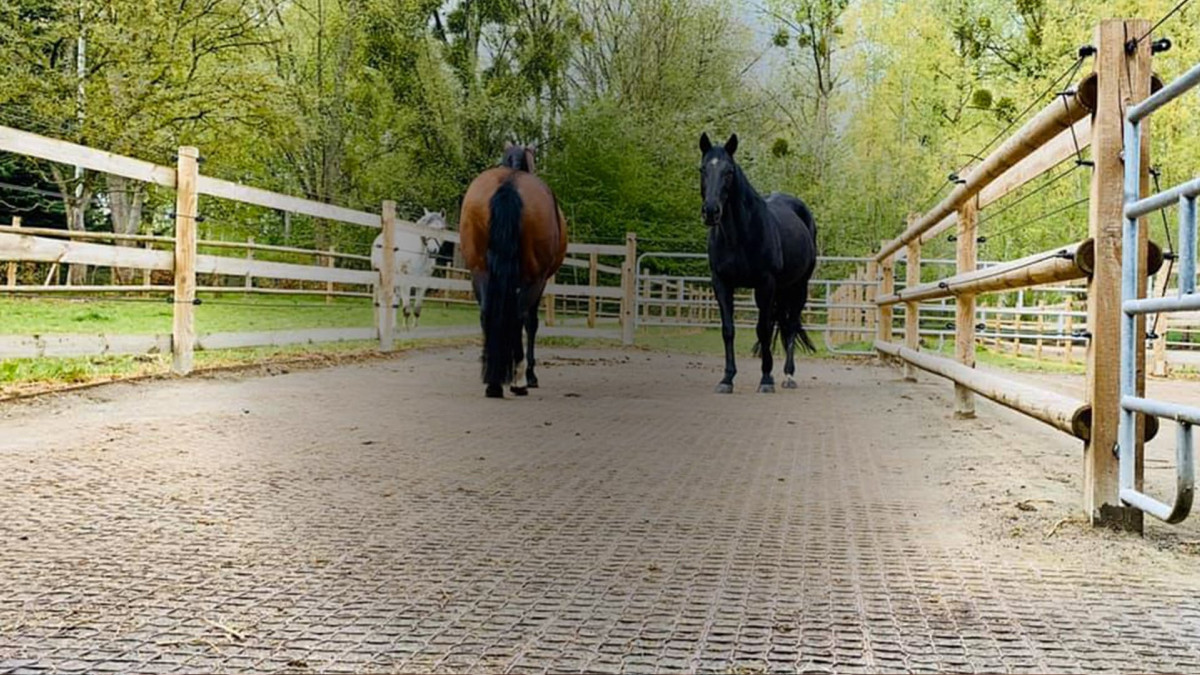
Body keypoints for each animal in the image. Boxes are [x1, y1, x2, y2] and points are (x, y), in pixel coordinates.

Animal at [460, 141, 568, 393]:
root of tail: (510, 183)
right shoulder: (539, 281)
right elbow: (530, 322)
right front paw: (530, 375)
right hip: (534, 278)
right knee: (520, 317)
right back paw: (518, 378)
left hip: (479, 272)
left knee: (486, 314)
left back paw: (493, 380)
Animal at [700, 132, 820, 391]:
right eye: (702, 169)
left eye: (729, 171)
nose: (711, 211)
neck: (739, 237)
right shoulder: (721, 283)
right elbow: (728, 330)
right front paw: (727, 379)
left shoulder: (764, 283)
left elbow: (763, 330)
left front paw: (765, 379)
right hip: (782, 289)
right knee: (783, 323)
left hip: (798, 287)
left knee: (790, 326)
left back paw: (788, 375)